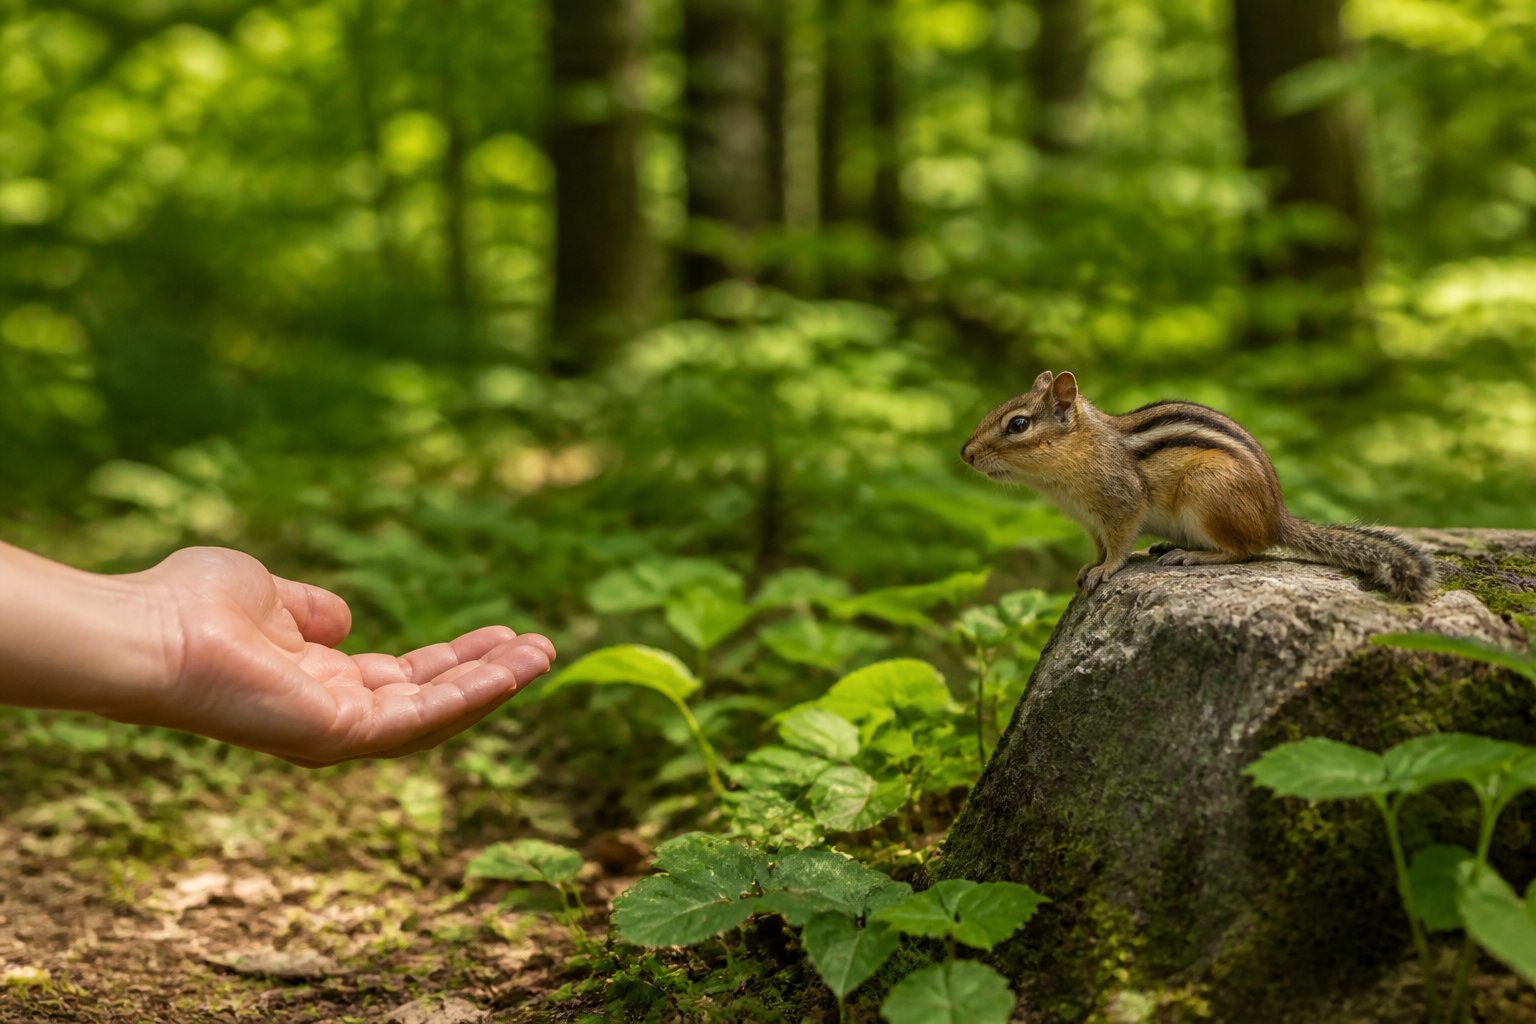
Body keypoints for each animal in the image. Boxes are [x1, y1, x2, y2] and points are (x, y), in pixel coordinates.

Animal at [960, 370, 1437, 601]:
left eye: (1018, 425)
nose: (965, 454)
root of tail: (1276, 517)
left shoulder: (1122, 503)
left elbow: (1118, 546)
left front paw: (1105, 570)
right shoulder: (1090, 520)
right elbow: (1098, 545)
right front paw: (1087, 567)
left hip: (1207, 489)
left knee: (1247, 550)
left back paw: (1192, 555)